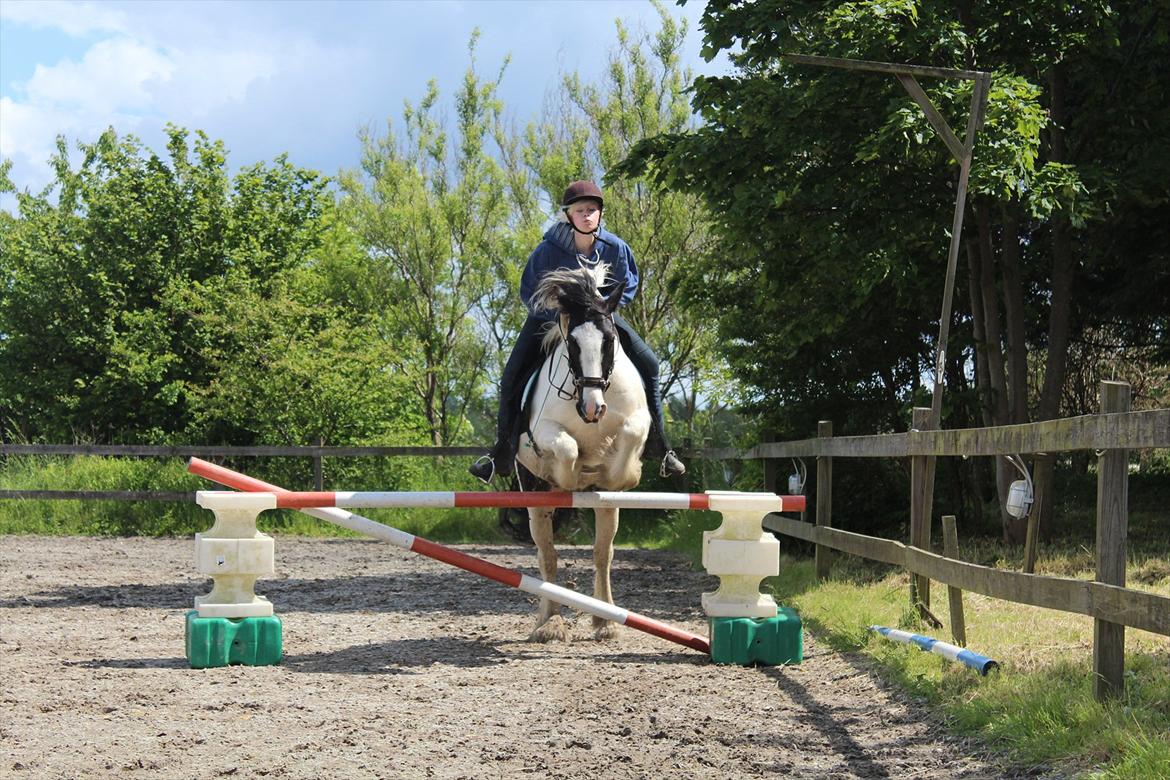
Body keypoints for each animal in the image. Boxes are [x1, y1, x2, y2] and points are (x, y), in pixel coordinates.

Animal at [517, 265, 655, 645]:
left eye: (609, 341)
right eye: (573, 344)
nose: (593, 409)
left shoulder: (639, 421)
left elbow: (629, 436)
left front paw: (621, 471)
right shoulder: (543, 431)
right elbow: (567, 449)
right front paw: (569, 474)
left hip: (609, 511)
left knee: (602, 554)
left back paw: (605, 621)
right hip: (533, 504)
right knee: (547, 556)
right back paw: (550, 622)